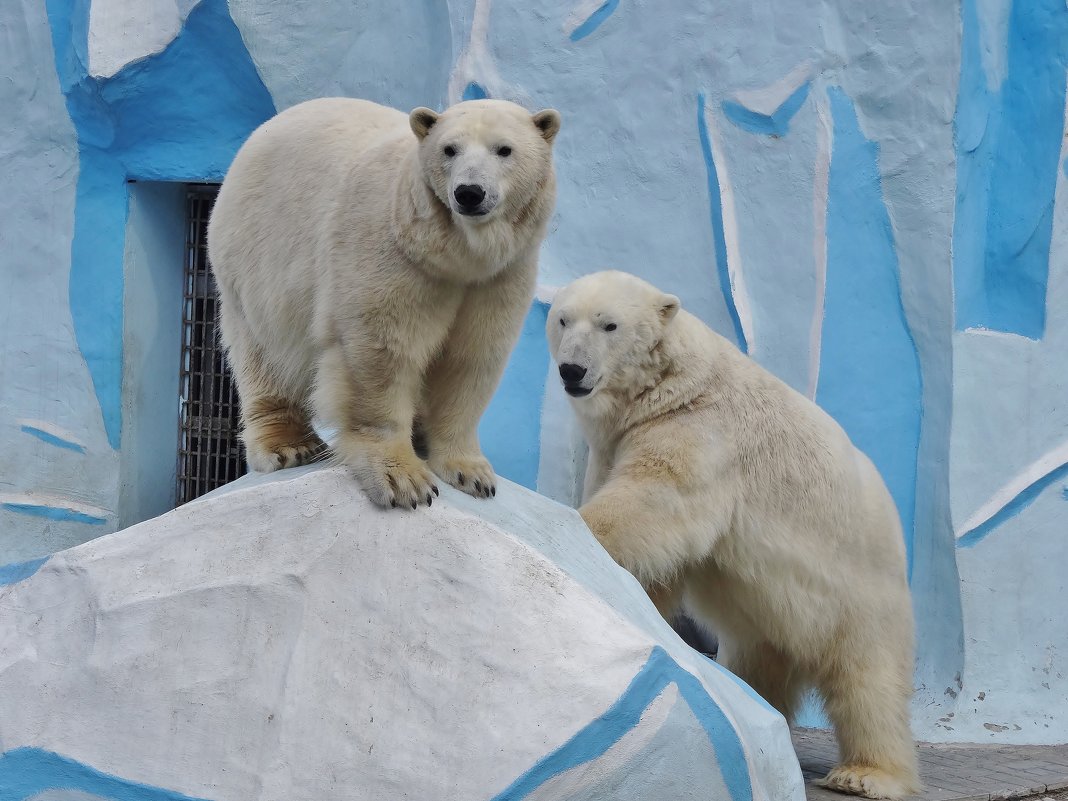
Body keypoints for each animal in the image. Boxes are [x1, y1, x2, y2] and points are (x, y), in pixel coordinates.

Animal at [203, 95, 563, 508]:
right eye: (449, 149)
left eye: (504, 149)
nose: (469, 192)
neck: (457, 254)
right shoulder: (394, 249)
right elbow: (384, 349)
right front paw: (403, 480)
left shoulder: (500, 275)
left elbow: (471, 357)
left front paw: (471, 473)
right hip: (254, 261)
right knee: (265, 354)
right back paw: (290, 445)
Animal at [546, 273, 922, 798]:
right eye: (563, 319)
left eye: (609, 324)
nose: (571, 370)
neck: (668, 386)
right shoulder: (620, 441)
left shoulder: (701, 432)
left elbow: (655, 501)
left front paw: (578, 531)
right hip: (772, 616)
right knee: (761, 661)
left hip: (860, 592)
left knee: (867, 680)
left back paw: (866, 775)